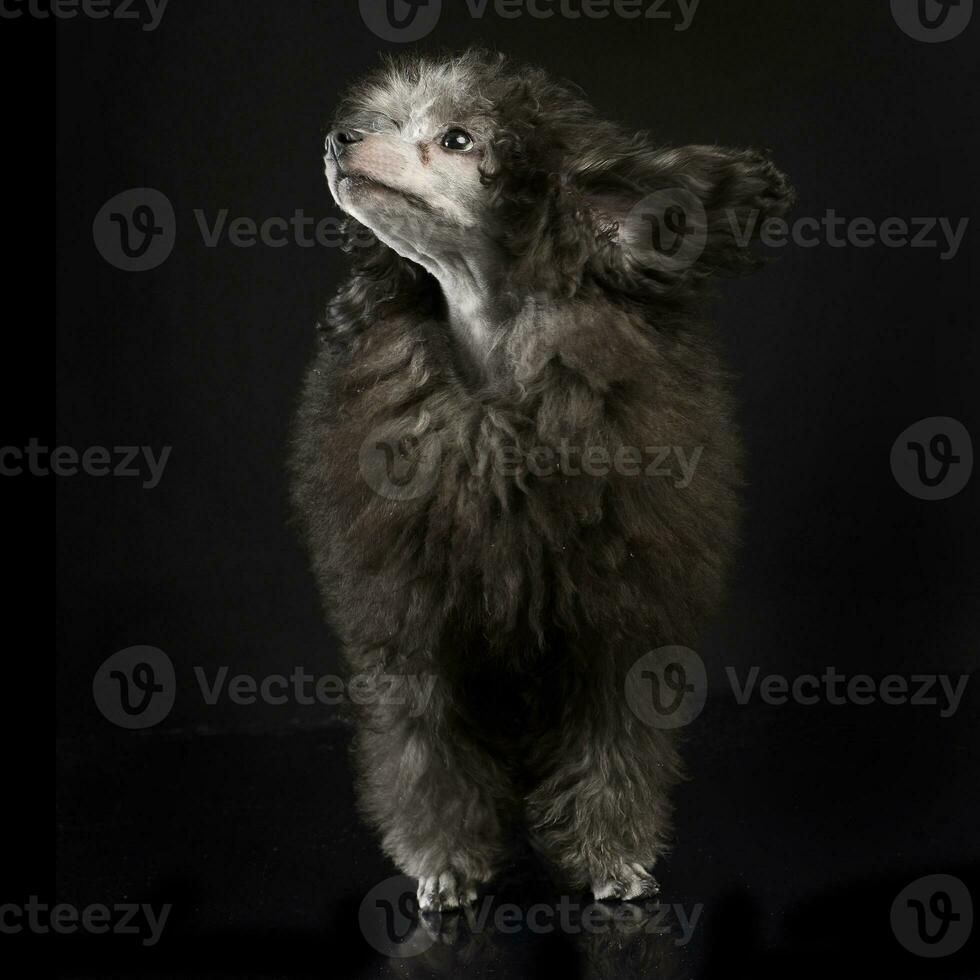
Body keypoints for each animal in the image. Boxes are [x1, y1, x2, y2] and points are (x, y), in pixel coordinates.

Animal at [290, 51, 788, 912]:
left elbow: (614, 749)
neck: (495, 363)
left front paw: (612, 858)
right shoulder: (419, 628)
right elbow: (427, 754)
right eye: (384, 120)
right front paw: (447, 863)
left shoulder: (613, 625)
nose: (338, 138)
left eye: (458, 139)